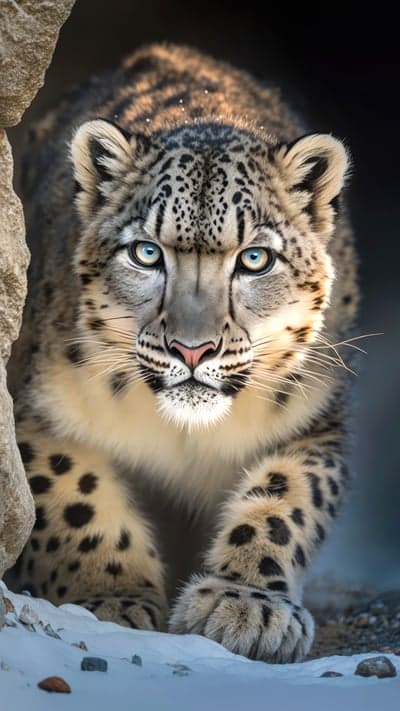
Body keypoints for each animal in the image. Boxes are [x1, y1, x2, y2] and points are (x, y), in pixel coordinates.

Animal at [7, 43, 359, 663]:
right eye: (146, 253)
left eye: (255, 259)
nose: (192, 349)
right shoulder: (34, 414)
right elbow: (77, 496)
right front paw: (112, 598)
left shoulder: (314, 420)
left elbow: (284, 500)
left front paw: (245, 606)